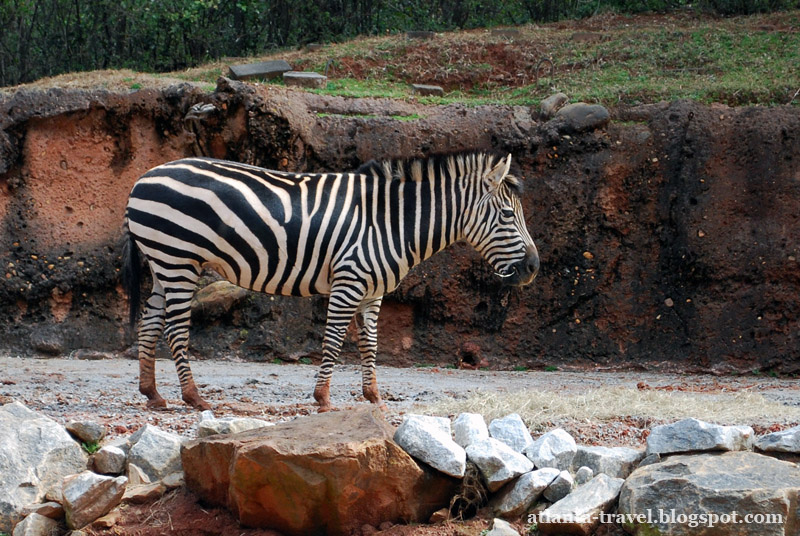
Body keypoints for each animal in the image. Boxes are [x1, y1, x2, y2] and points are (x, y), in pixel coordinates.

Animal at [122, 153, 540, 412]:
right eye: (507, 215)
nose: (535, 267)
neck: (392, 222)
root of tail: (142, 178)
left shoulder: (373, 291)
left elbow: (370, 343)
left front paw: (373, 396)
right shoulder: (349, 280)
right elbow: (336, 339)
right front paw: (322, 398)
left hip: (164, 263)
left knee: (150, 323)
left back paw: (153, 394)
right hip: (178, 260)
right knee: (176, 328)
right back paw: (194, 398)